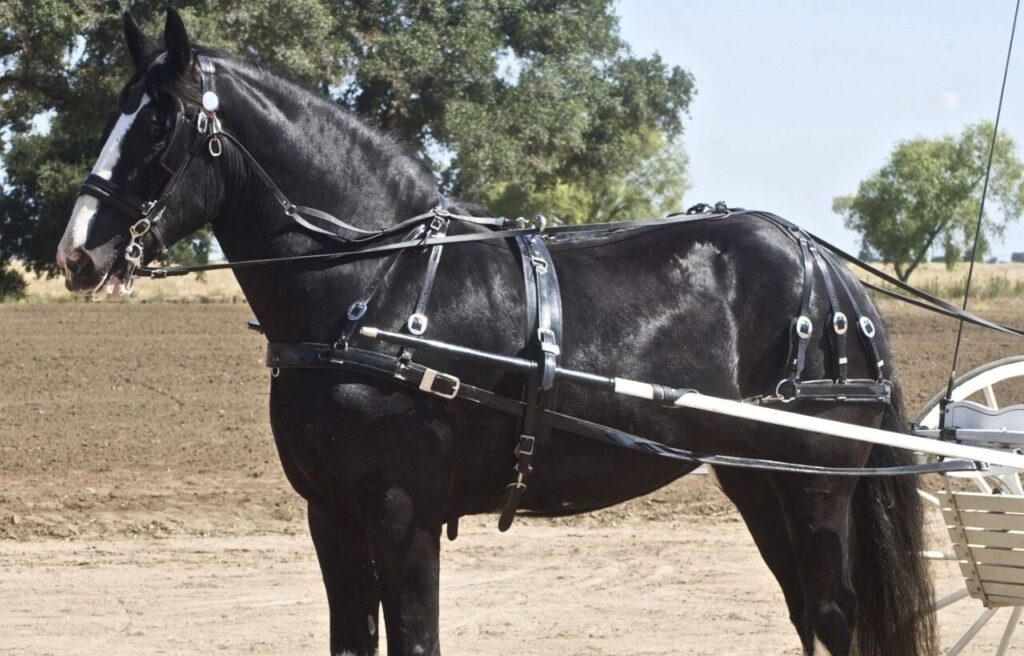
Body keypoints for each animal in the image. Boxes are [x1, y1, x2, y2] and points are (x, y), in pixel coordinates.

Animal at [55, 9, 936, 655]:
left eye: (160, 125)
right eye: (115, 115)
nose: (76, 253)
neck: (376, 286)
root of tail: (823, 266)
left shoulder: (401, 511)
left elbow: (416, 641)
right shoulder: (329, 515)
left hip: (815, 484)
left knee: (832, 612)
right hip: (754, 476)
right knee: (807, 611)